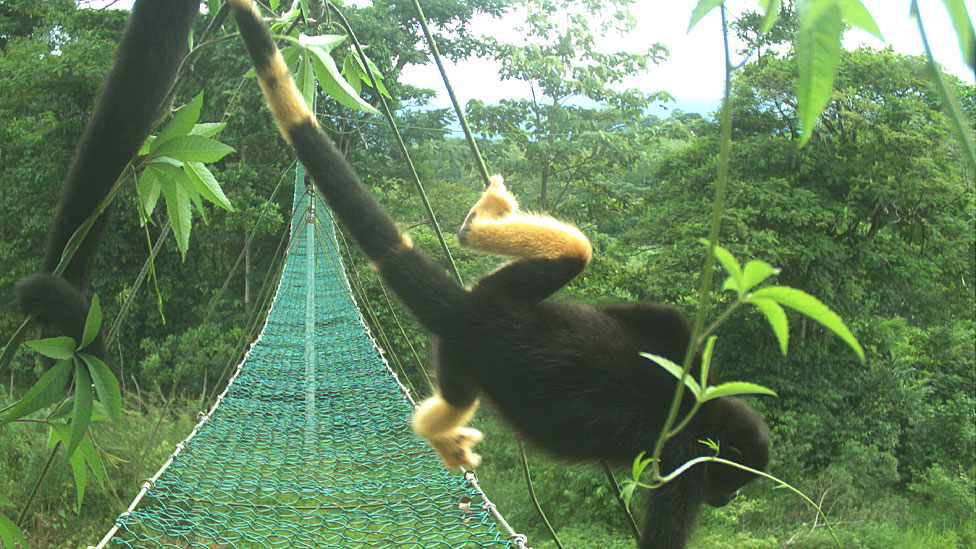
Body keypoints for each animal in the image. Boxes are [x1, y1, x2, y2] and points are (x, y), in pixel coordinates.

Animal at [225, 1, 769, 547]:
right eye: (730, 485)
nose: (725, 501)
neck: (702, 414)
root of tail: (468, 310)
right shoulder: (684, 467)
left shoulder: (681, 362)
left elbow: (661, 319)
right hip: (461, 356)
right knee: (459, 395)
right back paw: (436, 432)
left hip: (497, 294)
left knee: (575, 253)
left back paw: (475, 226)